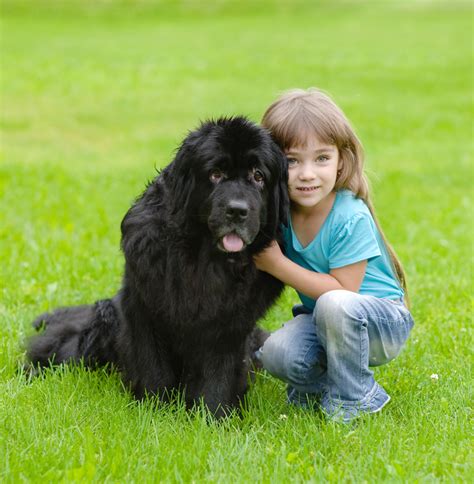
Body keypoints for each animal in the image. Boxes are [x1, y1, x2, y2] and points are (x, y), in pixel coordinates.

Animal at [29, 116, 290, 416]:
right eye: (215, 174)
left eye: (258, 176)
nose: (237, 210)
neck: (204, 261)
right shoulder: (144, 307)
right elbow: (153, 364)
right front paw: (154, 410)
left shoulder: (232, 324)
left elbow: (219, 373)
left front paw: (212, 415)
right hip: (101, 319)